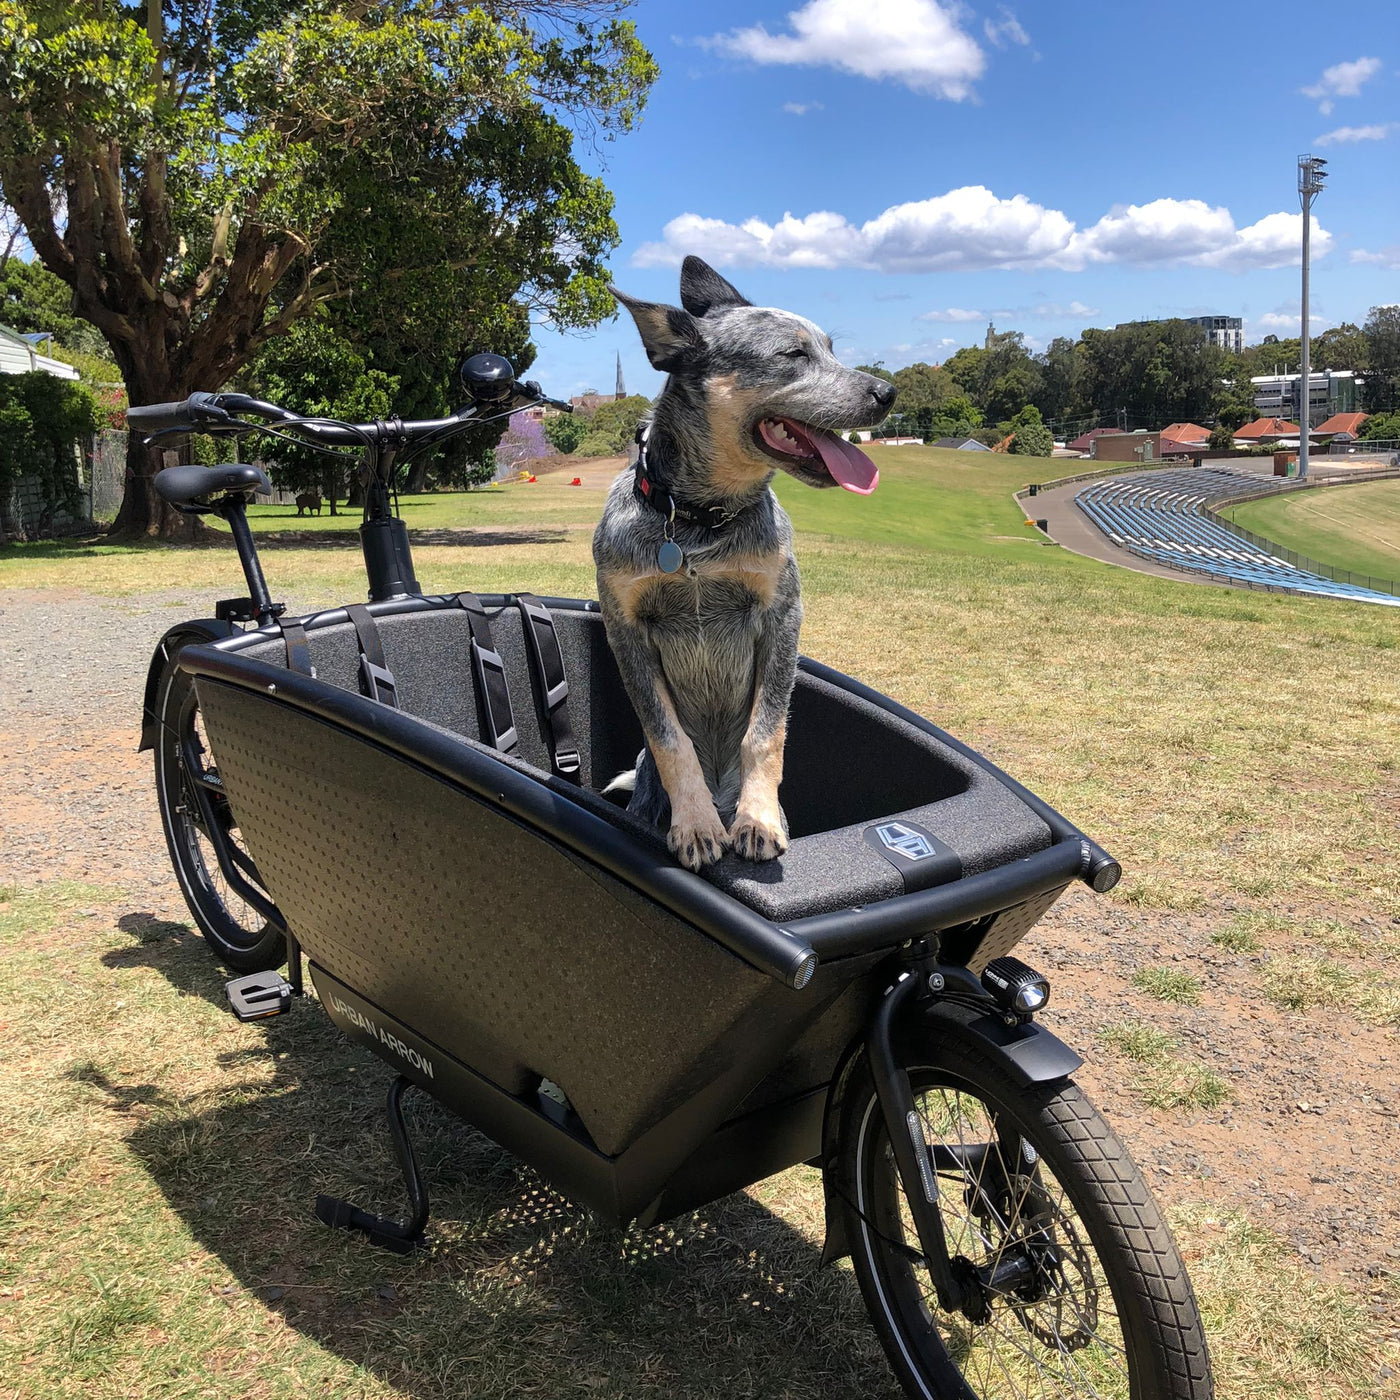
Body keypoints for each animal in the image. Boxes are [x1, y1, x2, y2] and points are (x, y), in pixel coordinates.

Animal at [593, 250, 896, 862]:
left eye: (831, 348)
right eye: (794, 355)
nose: (888, 392)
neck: (698, 524)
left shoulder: (782, 614)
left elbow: (766, 732)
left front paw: (755, 819)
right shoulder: (625, 629)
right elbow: (668, 737)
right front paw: (695, 824)